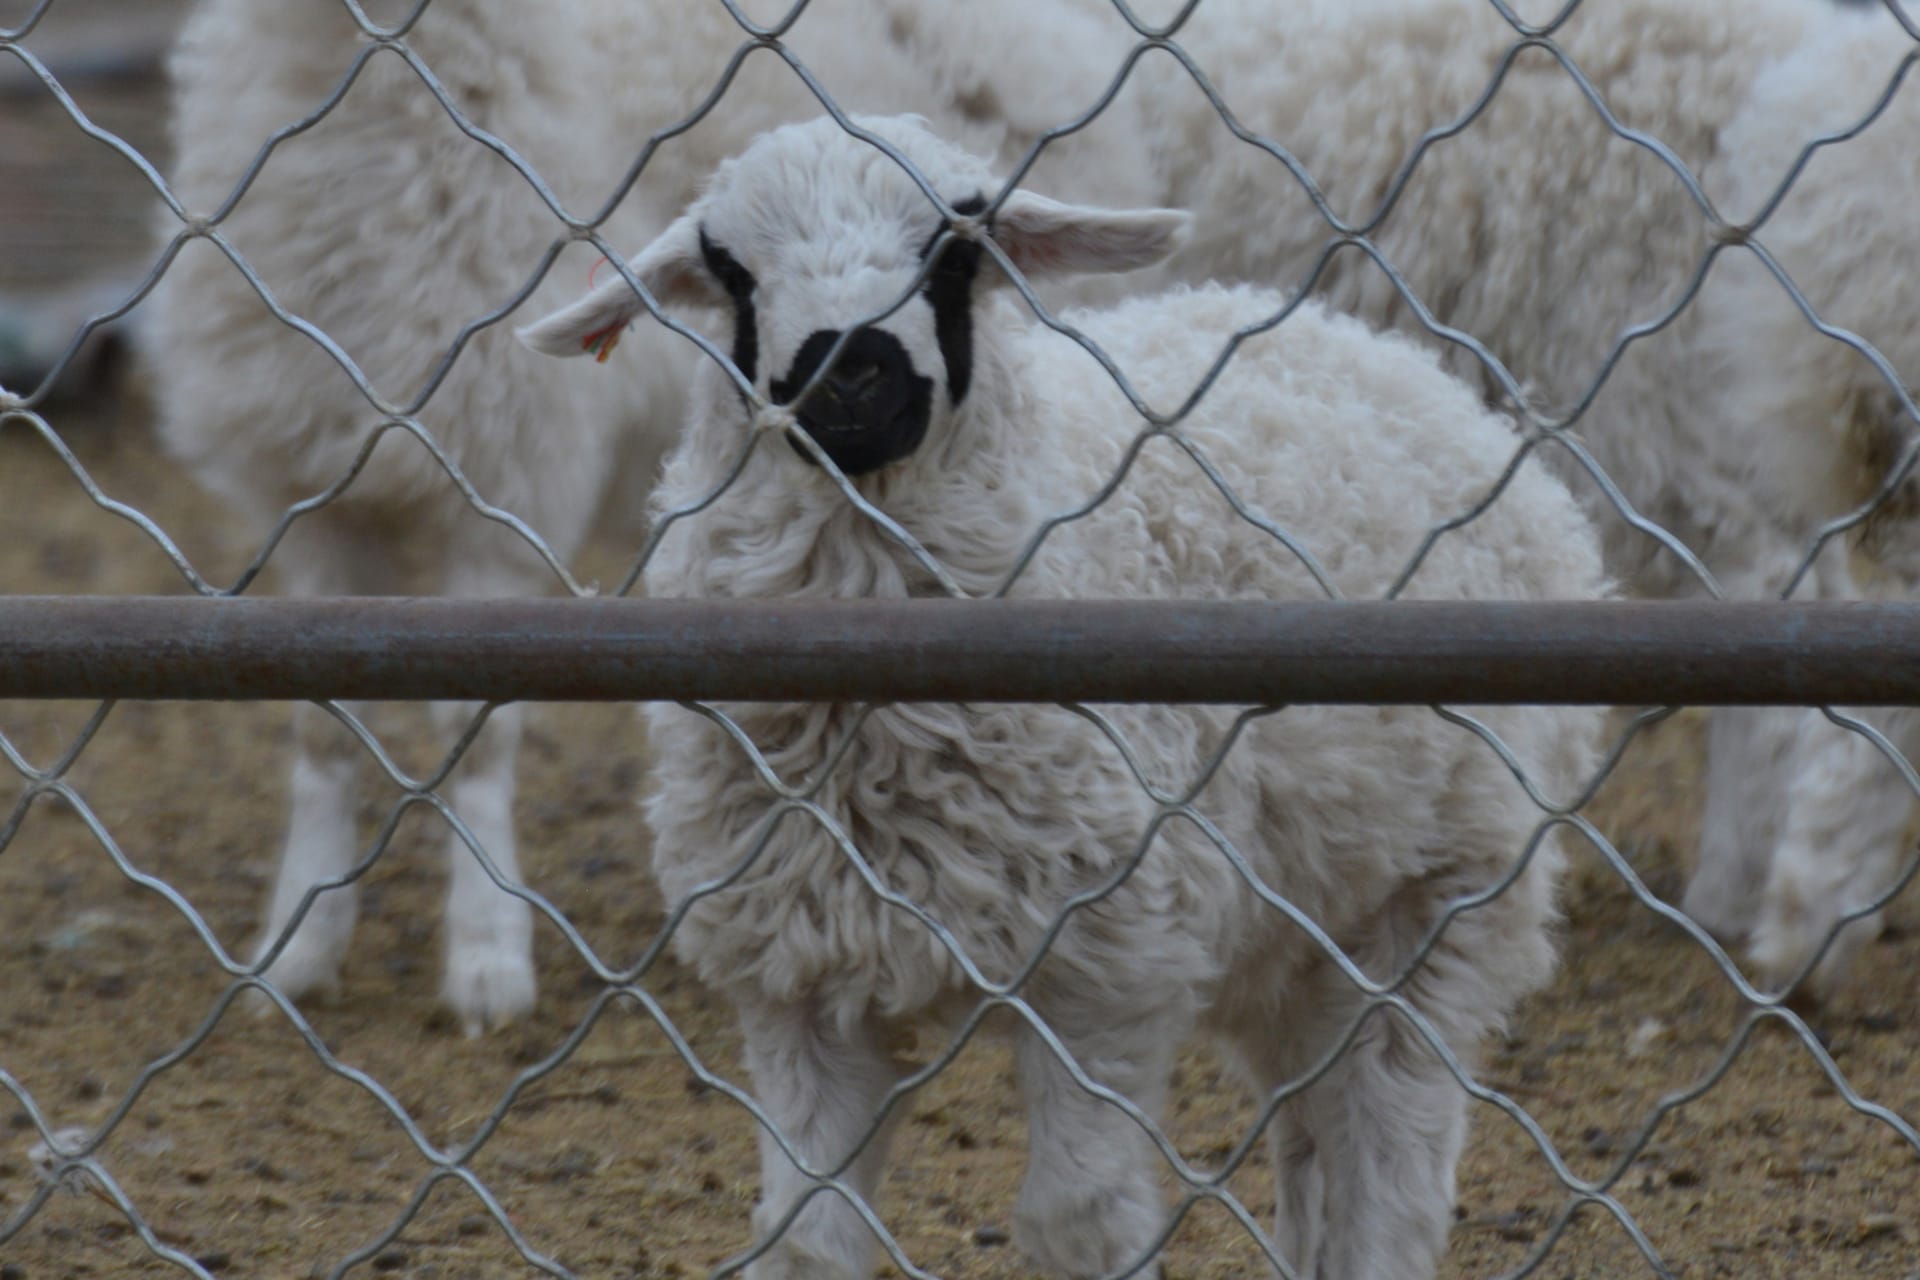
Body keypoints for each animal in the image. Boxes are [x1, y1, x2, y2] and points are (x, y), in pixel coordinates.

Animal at [139, 0, 1152, 1028]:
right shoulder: (310, 480)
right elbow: (320, 720)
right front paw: (297, 942)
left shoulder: (508, 473)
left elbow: (475, 728)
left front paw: (487, 955)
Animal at [518, 112, 1612, 1280]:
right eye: (730, 271)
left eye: (958, 247)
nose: (848, 373)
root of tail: (1393, 359)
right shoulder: (794, 976)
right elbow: (804, 1238)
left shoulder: (1104, 970)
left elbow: (1077, 1218)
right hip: (1300, 917)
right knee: (1312, 1116)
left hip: (1450, 887)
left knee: (1390, 1144)